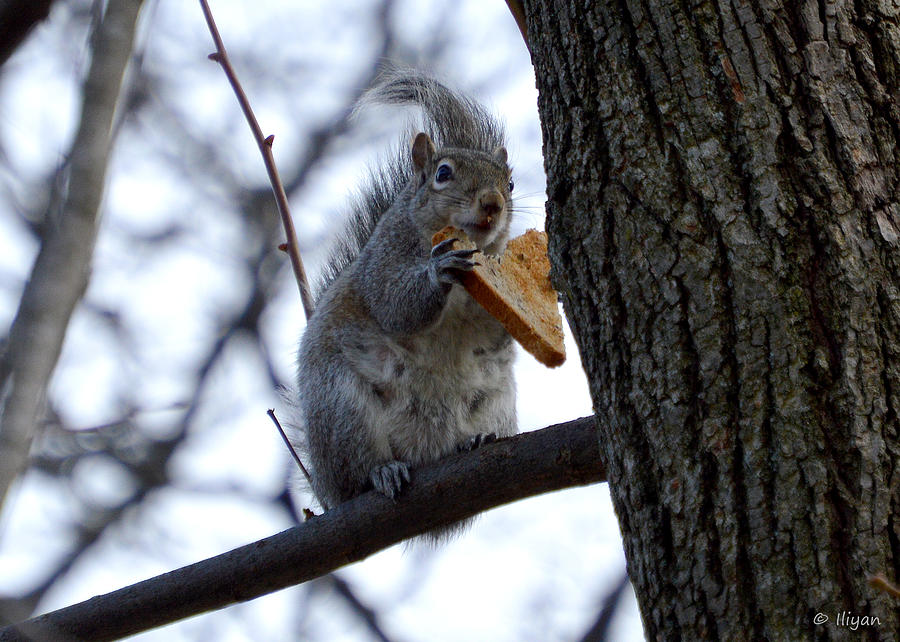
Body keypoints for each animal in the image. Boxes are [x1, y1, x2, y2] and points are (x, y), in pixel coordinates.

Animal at [294, 69, 516, 520]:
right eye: (443, 173)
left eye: (511, 183)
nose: (492, 203)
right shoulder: (381, 262)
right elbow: (394, 306)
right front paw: (438, 270)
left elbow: (500, 328)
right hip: (342, 410)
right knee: (357, 474)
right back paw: (383, 472)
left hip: (493, 401)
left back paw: (475, 440)